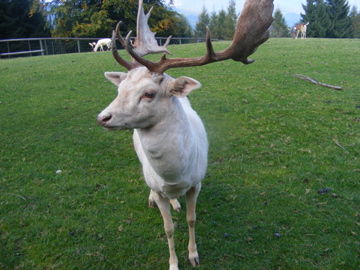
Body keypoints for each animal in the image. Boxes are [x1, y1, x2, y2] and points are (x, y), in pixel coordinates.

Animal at [95, 0, 272, 270]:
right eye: (120, 89)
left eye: (149, 93)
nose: (103, 117)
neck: (174, 174)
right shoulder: (160, 188)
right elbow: (168, 228)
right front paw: (173, 263)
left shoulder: (196, 183)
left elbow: (191, 219)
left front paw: (193, 255)